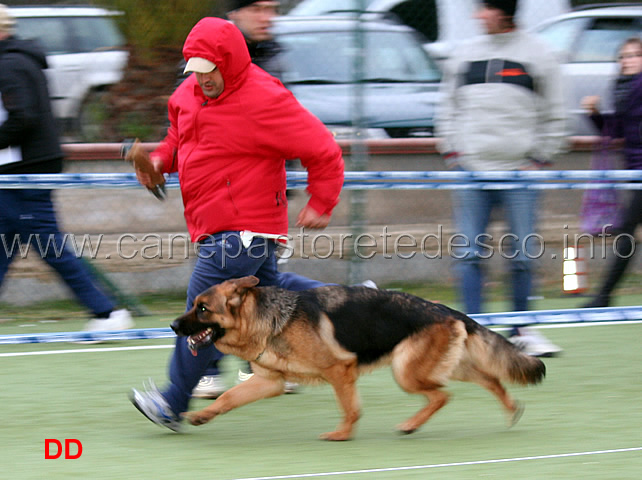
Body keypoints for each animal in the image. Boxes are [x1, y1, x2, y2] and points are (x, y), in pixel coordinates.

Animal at [169, 276, 540, 440]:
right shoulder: (267, 383)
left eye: (202, 309)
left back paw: (411, 424)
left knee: (442, 395)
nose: (172, 326)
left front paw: (342, 435)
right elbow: (229, 399)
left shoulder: (339, 371)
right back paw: (512, 410)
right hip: (447, 366)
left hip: (407, 372)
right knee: (491, 379)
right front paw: (201, 415)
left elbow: (350, 408)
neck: (268, 319)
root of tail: (447, 310)